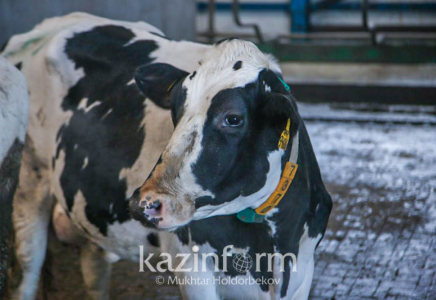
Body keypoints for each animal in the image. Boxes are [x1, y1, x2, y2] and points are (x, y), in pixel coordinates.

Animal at [3, 12, 332, 300]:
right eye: (175, 107)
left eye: (233, 118)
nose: (145, 204)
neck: (263, 237)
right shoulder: (193, 267)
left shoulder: (302, 269)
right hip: (29, 182)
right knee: (28, 268)